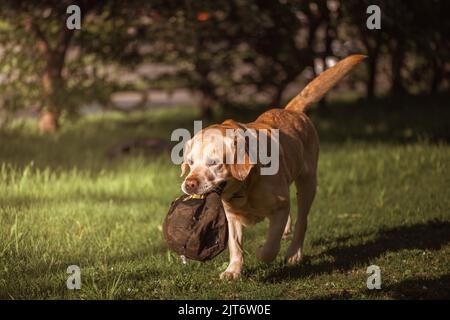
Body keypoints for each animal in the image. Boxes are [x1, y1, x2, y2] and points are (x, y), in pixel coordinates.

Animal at [180, 55, 366, 280]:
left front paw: (262, 253)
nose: (189, 184)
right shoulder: (231, 217)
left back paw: (294, 253)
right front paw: (233, 270)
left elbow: (271, 245)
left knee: (302, 221)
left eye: (214, 162)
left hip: (308, 184)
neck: (246, 186)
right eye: (190, 162)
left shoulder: (279, 207)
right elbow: (235, 245)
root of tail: (291, 110)